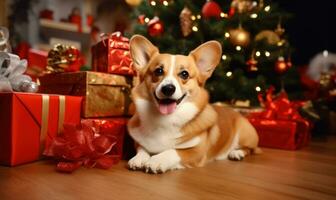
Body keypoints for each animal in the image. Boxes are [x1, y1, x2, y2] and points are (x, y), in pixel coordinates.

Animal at [126, 34, 260, 173]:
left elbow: (173, 151)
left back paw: (236, 153)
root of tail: (236, 112)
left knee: (250, 149)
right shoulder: (140, 142)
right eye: (158, 71)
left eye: (184, 74)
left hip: (246, 134)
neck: (166, 119)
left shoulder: (196, 151)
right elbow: (142, 149)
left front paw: (157, 160)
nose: (168, 88)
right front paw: (138, 159)